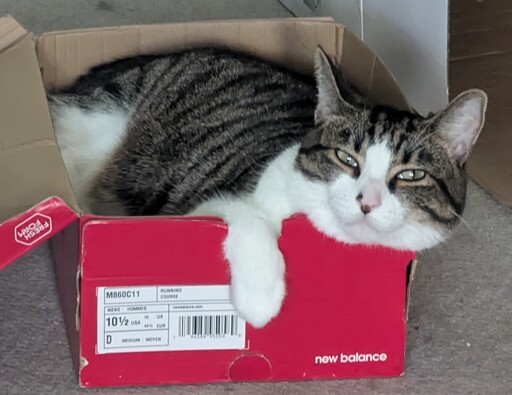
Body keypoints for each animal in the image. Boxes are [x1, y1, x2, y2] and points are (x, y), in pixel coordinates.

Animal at [48, 47, 488, 328]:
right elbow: (247, 216)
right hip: (95, 128)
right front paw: (260, 300)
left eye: (411, 175)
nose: (367, 201)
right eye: (346, 158)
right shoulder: (203, 205)